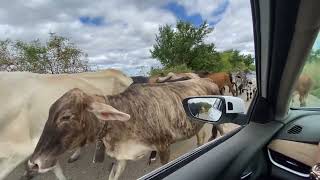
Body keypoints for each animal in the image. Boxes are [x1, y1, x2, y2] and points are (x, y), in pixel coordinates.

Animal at [23, 78, 220, 180]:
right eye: (48, 114)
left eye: (66, 116)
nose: (33, 163)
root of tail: (207, 80)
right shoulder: (122, 157)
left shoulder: (164, 147)